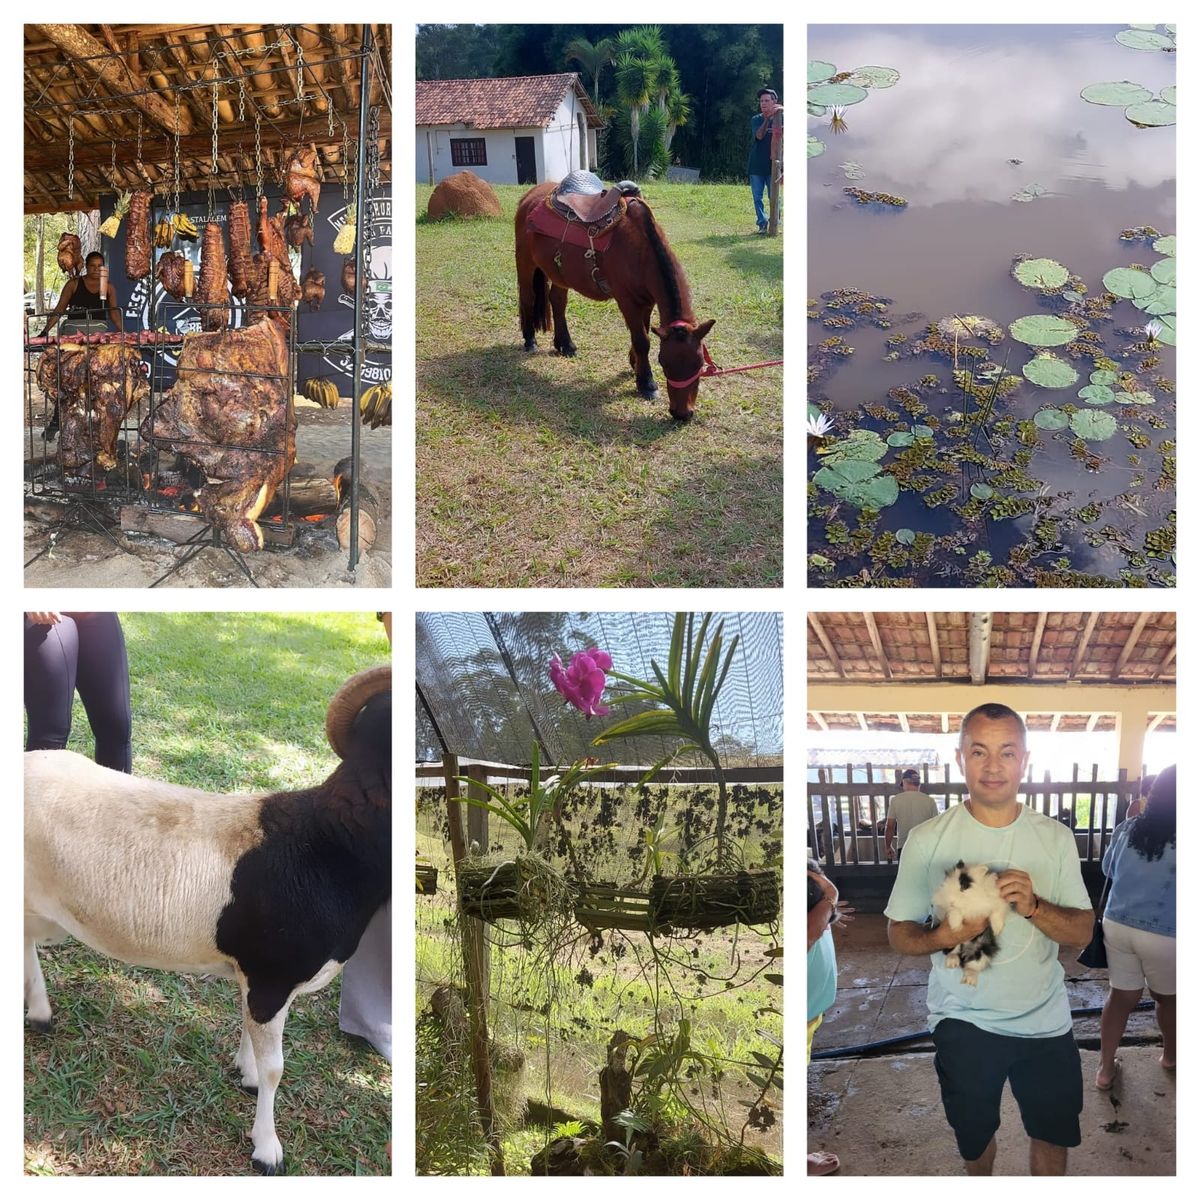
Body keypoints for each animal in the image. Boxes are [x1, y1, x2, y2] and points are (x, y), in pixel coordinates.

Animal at [513, 180, 710, 420]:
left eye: (700, 363)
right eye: (663, 362)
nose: (682, 413)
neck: (642, 251)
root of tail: (530, 196)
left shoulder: (646, 302)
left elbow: (643, 334)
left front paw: (635, 365)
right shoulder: (627, 302)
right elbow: (642, 340)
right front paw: (647, 384)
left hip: (559, 274)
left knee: (557, 301)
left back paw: (565, 345)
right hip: (525, 263)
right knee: (528, 298)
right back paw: (530, 341)